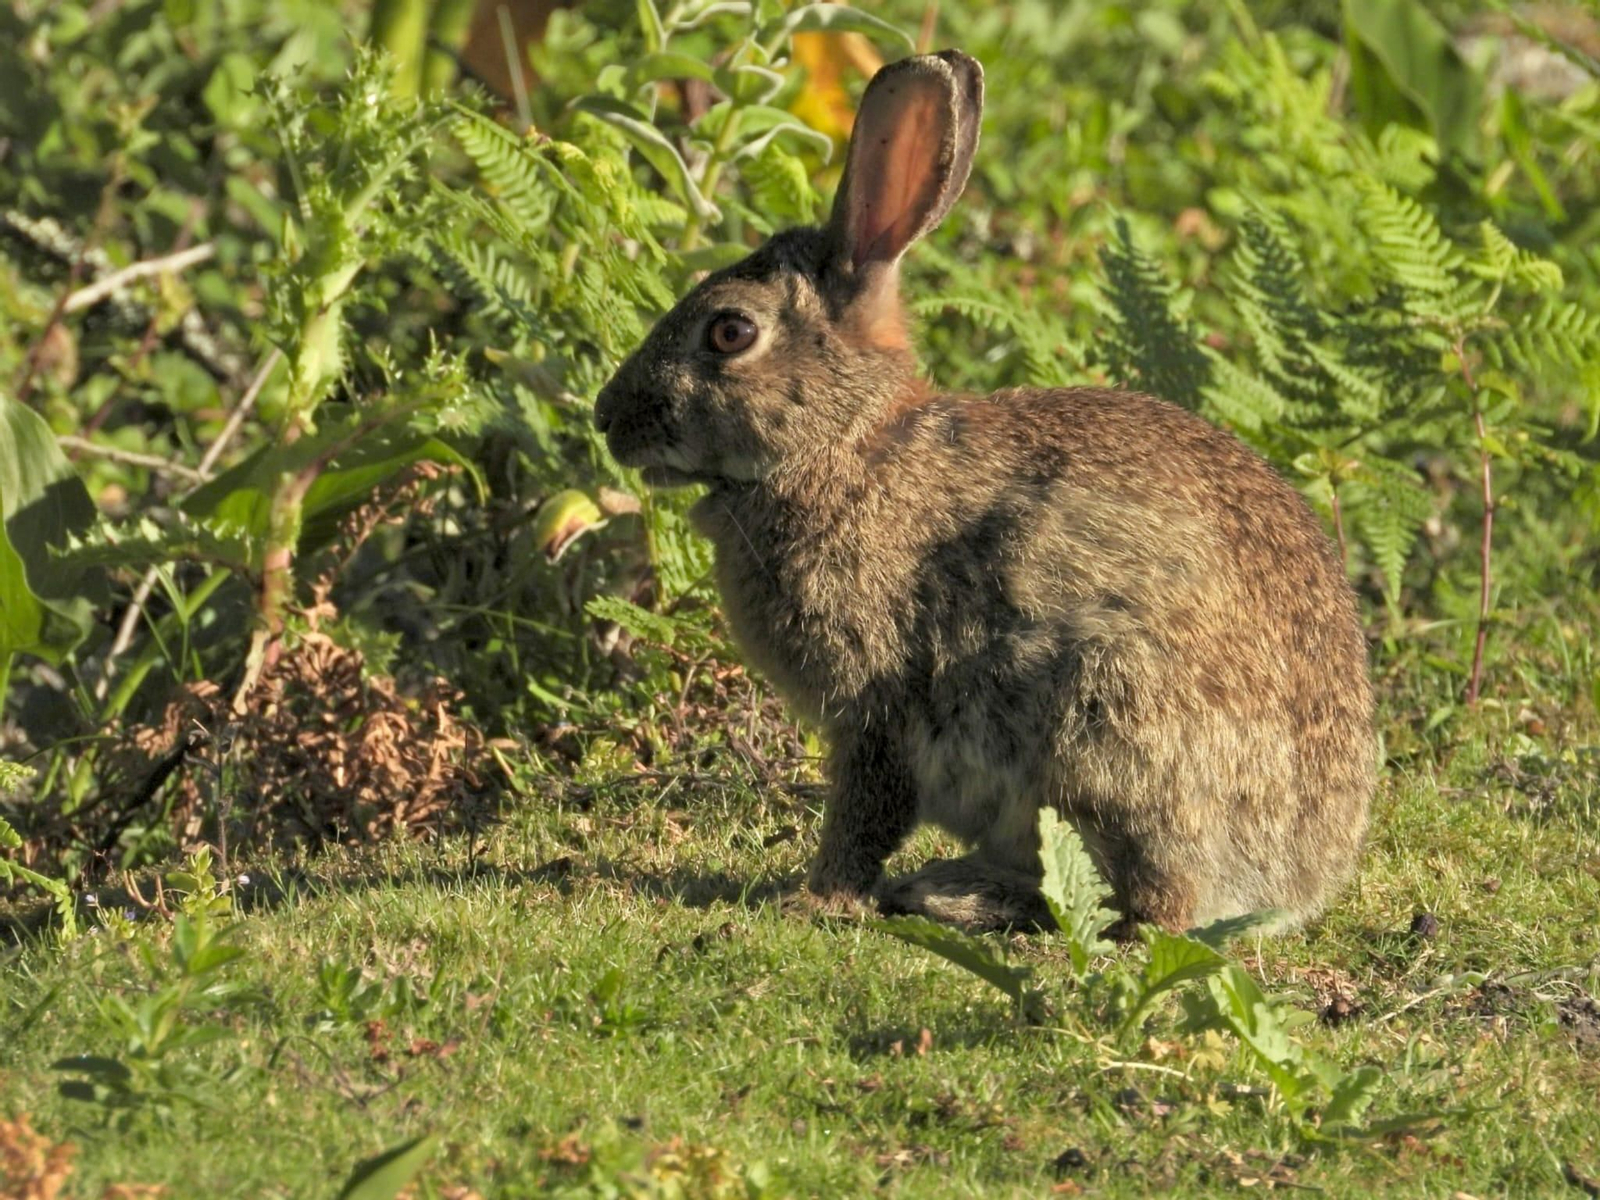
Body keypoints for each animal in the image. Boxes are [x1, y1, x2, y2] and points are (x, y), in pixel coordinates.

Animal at [592, 50, 1376, 934]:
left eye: (730, 332)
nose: (608, 418)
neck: (846, 445)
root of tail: (1298, 880)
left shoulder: (878, 700)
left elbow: (867, 810)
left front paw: (815, 896)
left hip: (1109, 725)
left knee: (1149, 909)